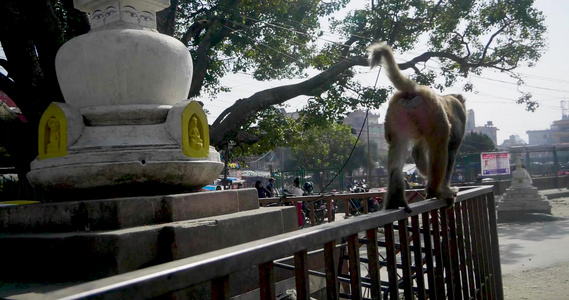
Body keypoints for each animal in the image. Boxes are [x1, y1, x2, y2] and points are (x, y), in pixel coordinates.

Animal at [368, 42, 466, 212]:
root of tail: (415, 89)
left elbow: (417, 151)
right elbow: (451, 151)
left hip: (395, 116)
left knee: (398, 147)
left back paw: (396, 197)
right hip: (435, 115)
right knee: (441, 148)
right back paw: (437, 191)